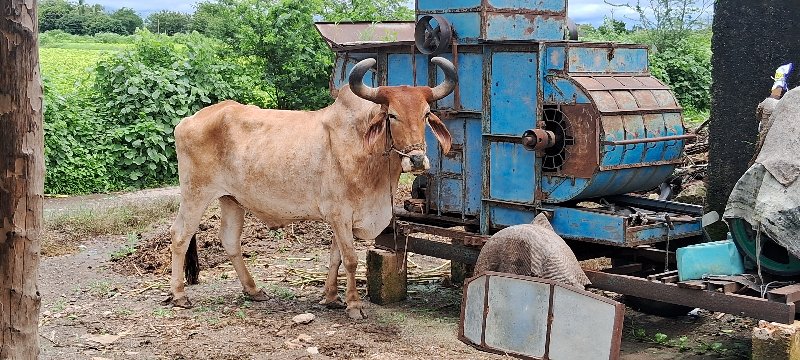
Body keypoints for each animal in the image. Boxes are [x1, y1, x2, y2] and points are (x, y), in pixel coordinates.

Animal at [167, 56, 456, 318]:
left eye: (426, 114)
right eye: (392, 115)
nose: (417, 160)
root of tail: (187, 121)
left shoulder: (343, 219)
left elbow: (335, 257)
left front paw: (332, 298)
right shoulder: (340, 214)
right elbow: (350, 259)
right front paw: (354, 305)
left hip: (231, 199)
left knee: (229, 240)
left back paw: (253, 290)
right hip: (196, 193)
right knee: (180, 235)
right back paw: (179, 295)